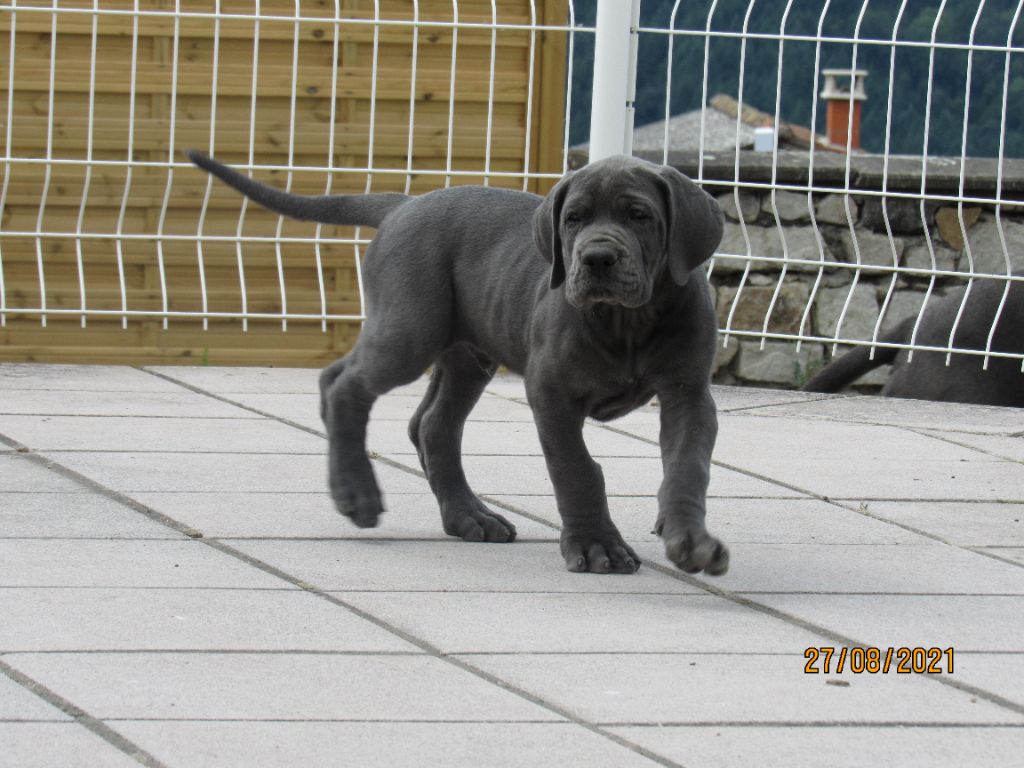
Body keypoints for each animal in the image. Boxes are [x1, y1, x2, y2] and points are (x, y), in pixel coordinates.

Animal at [189, 151, 730, 575]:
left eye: (639, 215)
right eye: (573, 219)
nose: (597, 258)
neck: (626, 323)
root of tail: (405, 205)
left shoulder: (688, 395)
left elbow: (687, 466)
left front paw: (689, 539)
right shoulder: (550, 393)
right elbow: (576, 469)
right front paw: (596, 545)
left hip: (467, 355)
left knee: (430, 425)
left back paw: (469, 516)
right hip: (411, 331)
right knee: (343, 384)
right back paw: (355, 493)